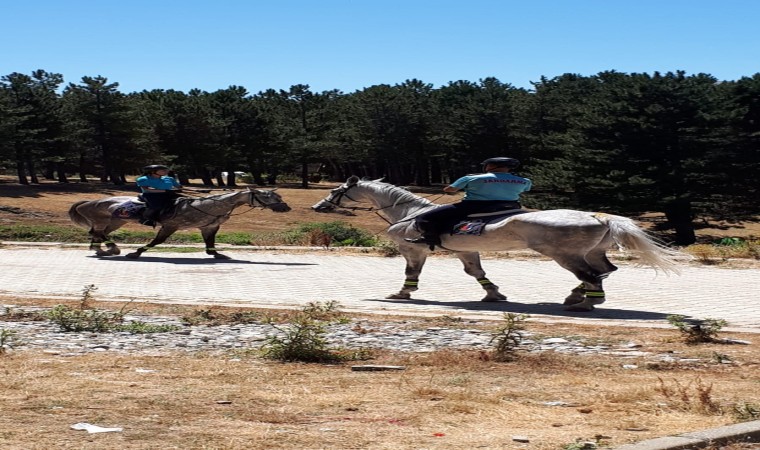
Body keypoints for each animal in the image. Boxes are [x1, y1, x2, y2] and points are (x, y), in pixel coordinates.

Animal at [312, 175, 684, 310]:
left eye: (336, 190)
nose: (319, 206)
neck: (411, 212)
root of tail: (599, 216)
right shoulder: (467, 252)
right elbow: (477, 273)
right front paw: (494, 295)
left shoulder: (412, 248)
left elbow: (410, 274)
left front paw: (402, 294)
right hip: (592, 252)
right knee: (605, 271)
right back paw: (578, 297)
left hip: (564, 254)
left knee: (591, 276)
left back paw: (583, 302)